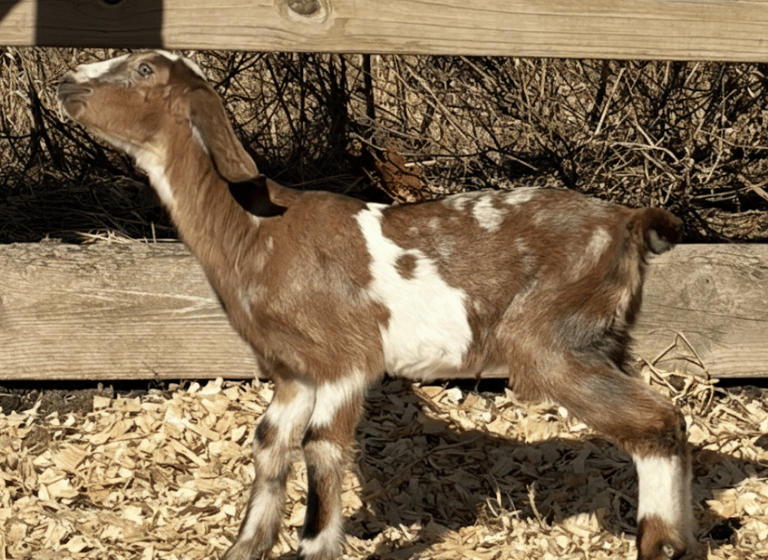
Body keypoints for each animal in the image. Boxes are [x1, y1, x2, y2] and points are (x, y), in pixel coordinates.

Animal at [58, 51, 693, 560]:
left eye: (144, 69)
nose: (66, 81)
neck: (256, 231)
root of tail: (626, 221)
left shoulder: (345, 358)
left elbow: (320, 450)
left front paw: (314, 546)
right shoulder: (294, 369)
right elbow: (270, 444)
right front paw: (246, 547)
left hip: (552, 337)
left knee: (657, 421)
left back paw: (661, 544)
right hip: (602, 337)